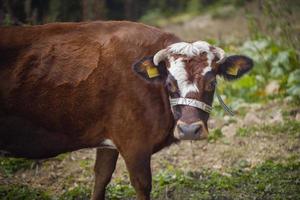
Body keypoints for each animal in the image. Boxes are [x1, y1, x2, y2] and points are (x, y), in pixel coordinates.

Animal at [0, 21, 253, 199]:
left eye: (211, 83)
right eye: (170, 83)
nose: (190, 130)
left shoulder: (108, 140)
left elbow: (101, 178)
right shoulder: (134, 144)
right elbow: (142, 185)